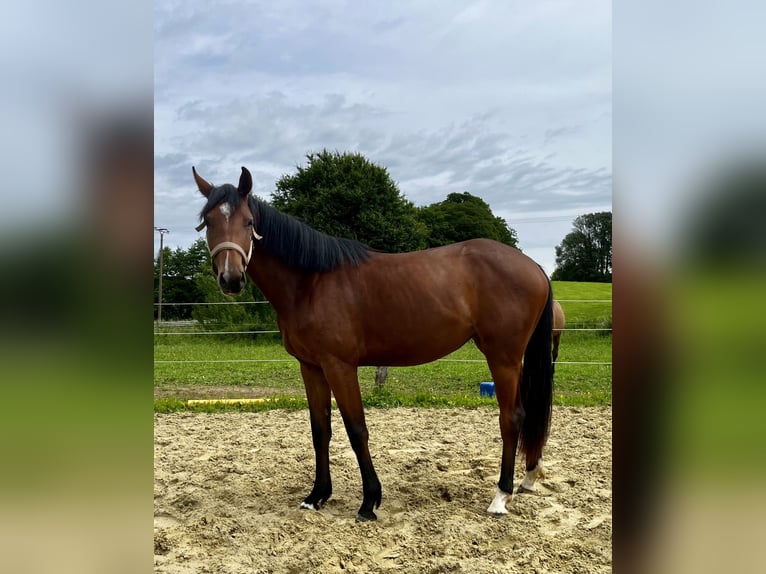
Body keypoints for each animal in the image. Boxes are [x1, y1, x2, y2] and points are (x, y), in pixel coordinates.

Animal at [193, 166, 554, 521]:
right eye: (208, 221)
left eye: (248, 222)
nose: (231, 279)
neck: (311, 282)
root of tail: (533, 266)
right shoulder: (311, 367)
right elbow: (320, 430)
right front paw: (317, 496)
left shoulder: (339, 366)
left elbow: (356, 429)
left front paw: (369, 502)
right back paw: (528, 478)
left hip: (504, 357)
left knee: (511, 418)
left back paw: (501, 496)